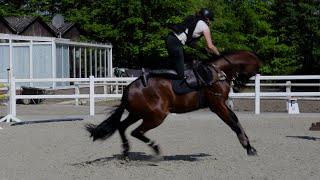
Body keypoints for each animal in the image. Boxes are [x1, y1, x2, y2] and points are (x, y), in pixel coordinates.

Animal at [86, 50, 262, 158]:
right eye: (254, 71)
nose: (238, 87)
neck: (216, 73)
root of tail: (129, 88)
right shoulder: (217, 106)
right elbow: (233, 123)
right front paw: (247, 146)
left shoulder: (222, 105)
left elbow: (236, 121)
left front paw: (249, 146)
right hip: (156, 116)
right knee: (136, 132)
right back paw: (155, 149)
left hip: (138, 113)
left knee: (122, 127)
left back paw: (126, 150)